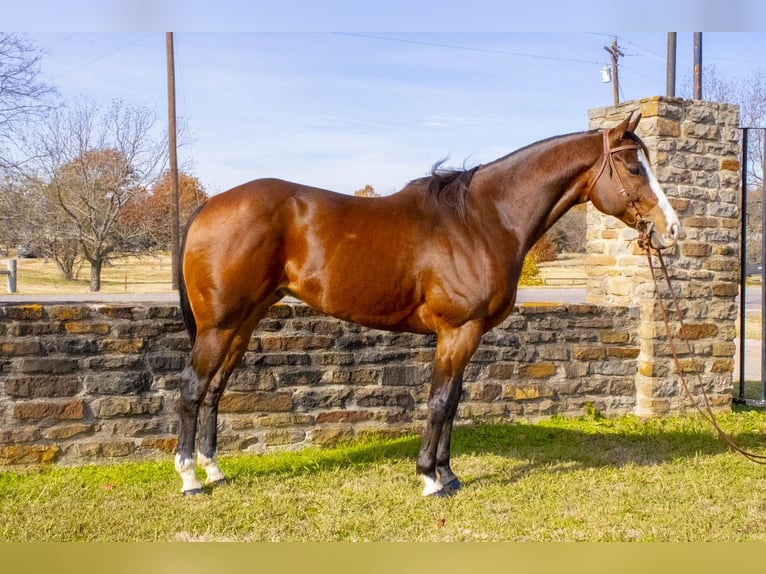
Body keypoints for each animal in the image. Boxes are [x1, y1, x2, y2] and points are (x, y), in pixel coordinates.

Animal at [175, 113, 684, 497]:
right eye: (635, 168)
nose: (672, 229)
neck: (481, 220)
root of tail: (209, 205)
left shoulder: (466, 335)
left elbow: (453, 401)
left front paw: (449, 474)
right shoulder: (458, 330)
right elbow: (439, 401)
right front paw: (429, 479)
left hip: (243, 323)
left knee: (216, 388)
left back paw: (214, 470)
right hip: (218, 326)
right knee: (193, 388)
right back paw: (190, 479)